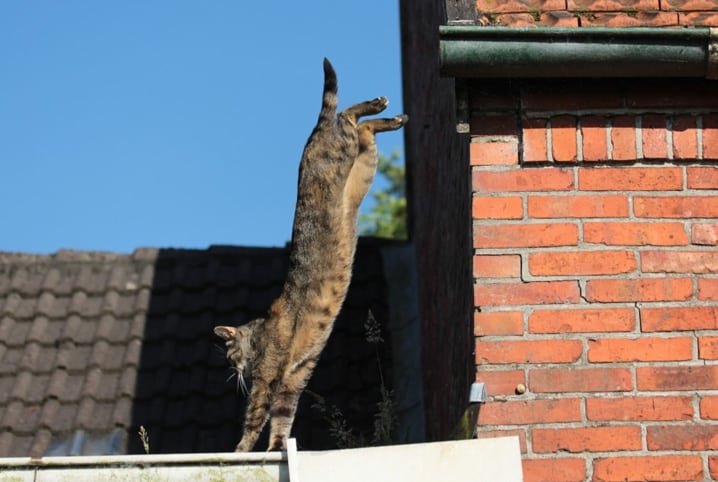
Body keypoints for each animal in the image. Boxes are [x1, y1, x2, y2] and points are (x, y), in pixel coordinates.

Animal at [214, 58, 408, 454]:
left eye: (230, 354)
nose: (235, 371)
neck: (259, 335)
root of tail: (309, 142)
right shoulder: (292, 380)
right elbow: (282, 419)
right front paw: (276, 448)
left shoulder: (268, 380)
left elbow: (255, 418)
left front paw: (241, 449)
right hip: (363, 168)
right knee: (363, 131)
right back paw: (391, 118)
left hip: (341, 151)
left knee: (347, 118)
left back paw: (375, 106)